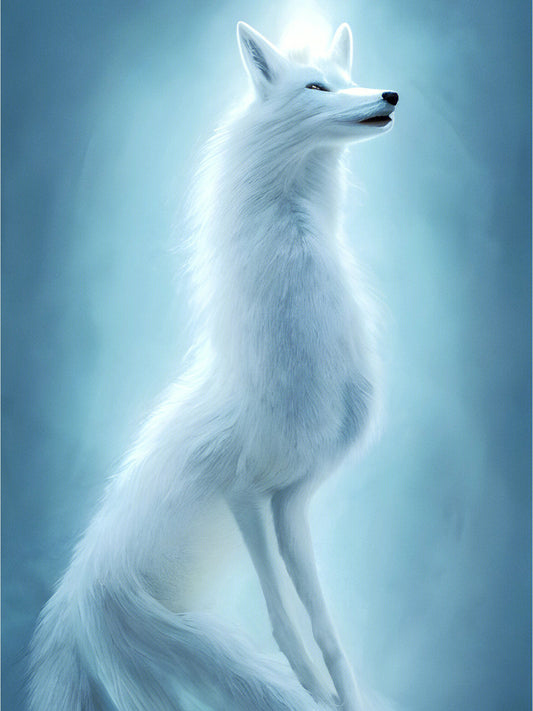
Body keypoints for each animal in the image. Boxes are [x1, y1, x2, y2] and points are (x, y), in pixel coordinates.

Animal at [28, 20, 398, 711]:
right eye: (316, 87)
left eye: (351, 78)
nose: (389, 94)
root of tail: (72, 595)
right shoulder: (246, 492)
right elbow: (284, 626)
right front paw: (313, 693)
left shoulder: (293, 498)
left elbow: (326, 634)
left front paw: (343, 696)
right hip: (159, 660)